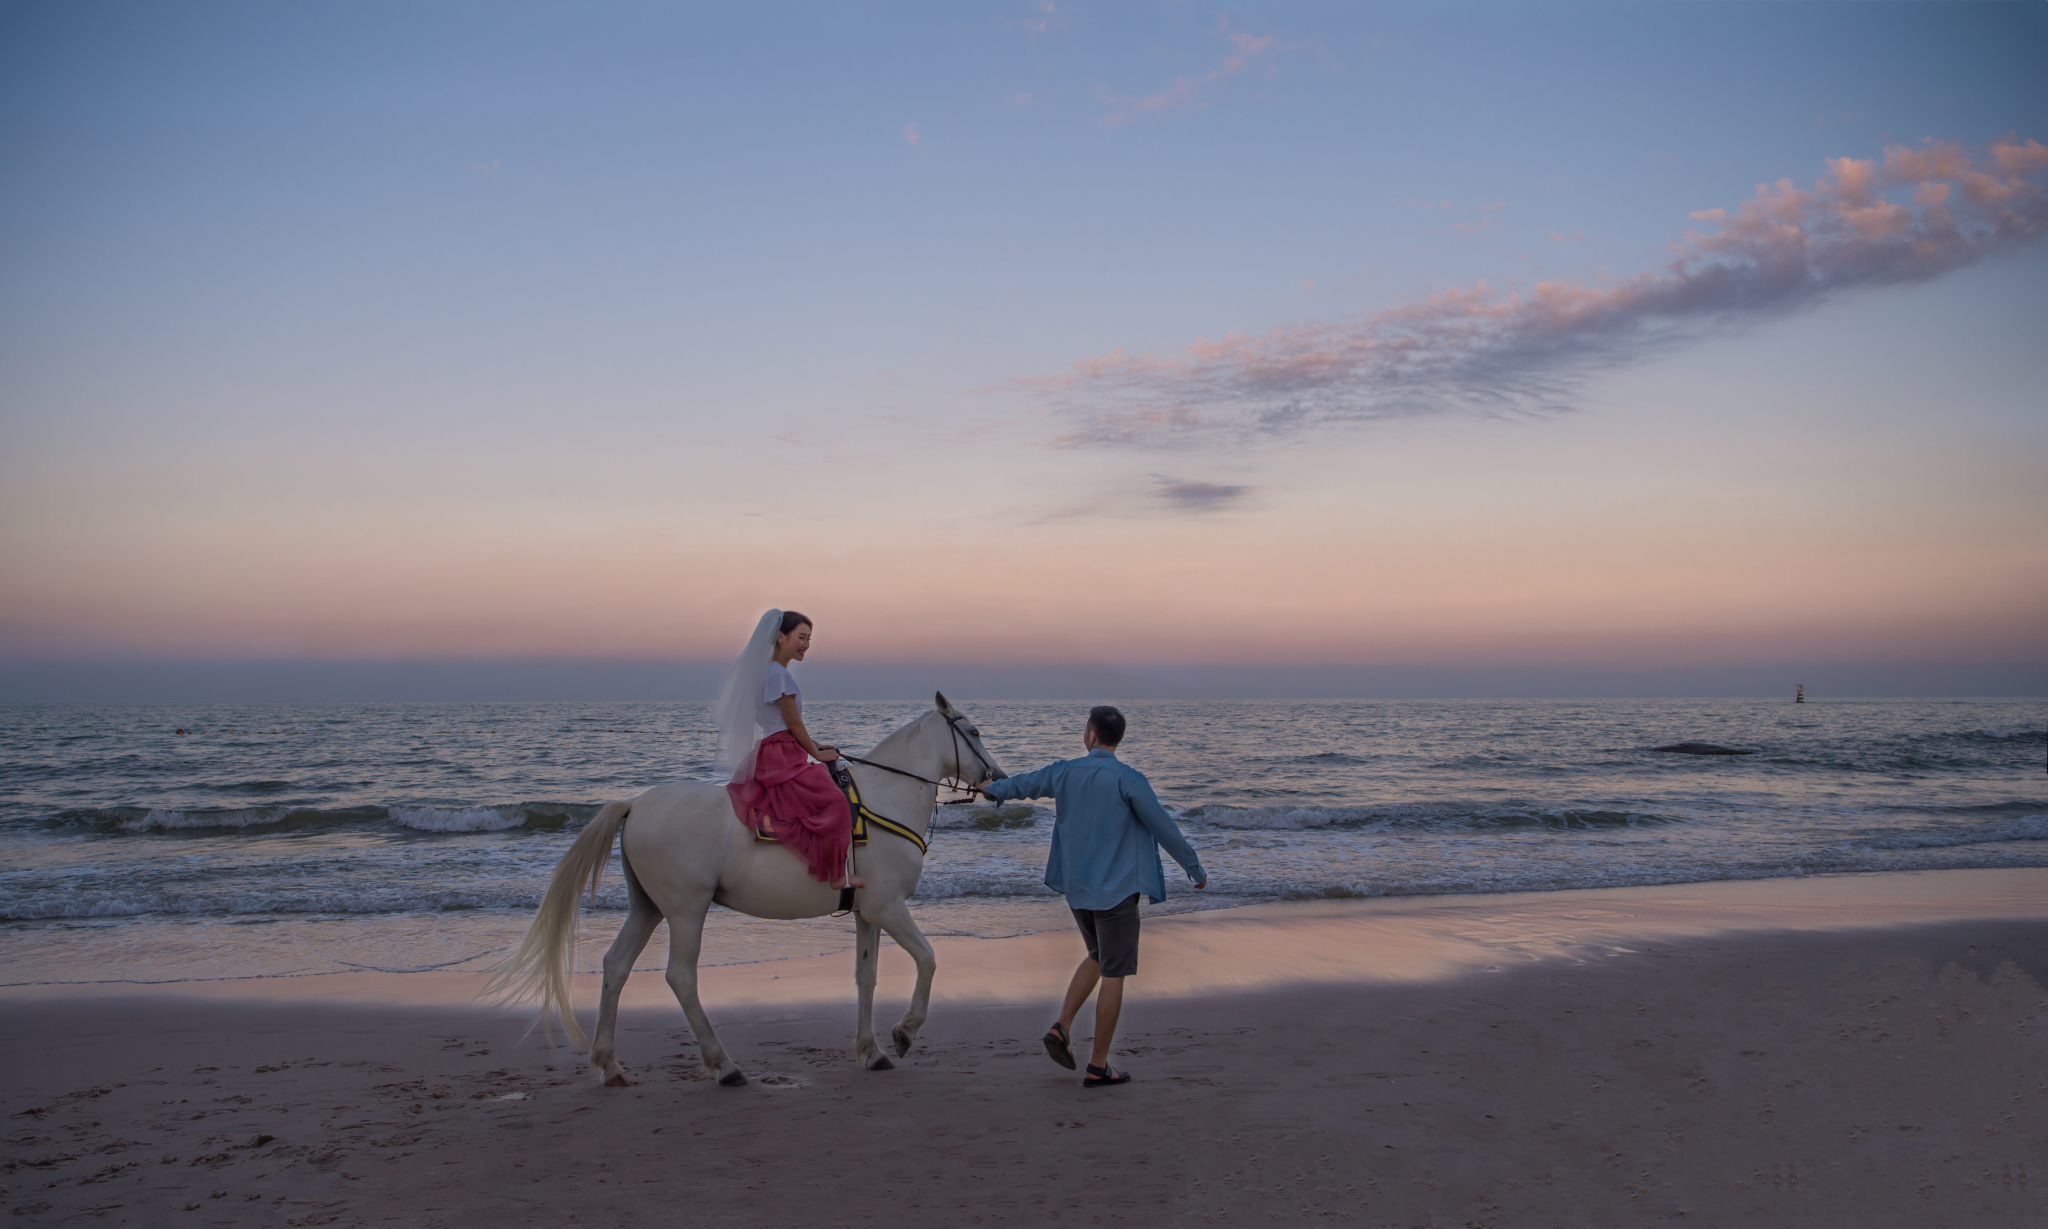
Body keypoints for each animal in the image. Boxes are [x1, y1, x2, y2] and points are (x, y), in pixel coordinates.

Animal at [483, 692, 1003, 1081]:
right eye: (974, 732)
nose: (996, 779)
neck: (884, 797)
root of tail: (635, 804)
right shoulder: (888, 907)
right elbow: (928, 959)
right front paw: (905, 1032)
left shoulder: (866, 913)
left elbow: (866, 978)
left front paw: (870, 1050)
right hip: (686, 911)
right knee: (680, 977)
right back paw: (724, 1064)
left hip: (647, 908)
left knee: (616, 967)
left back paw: (610, 1063)